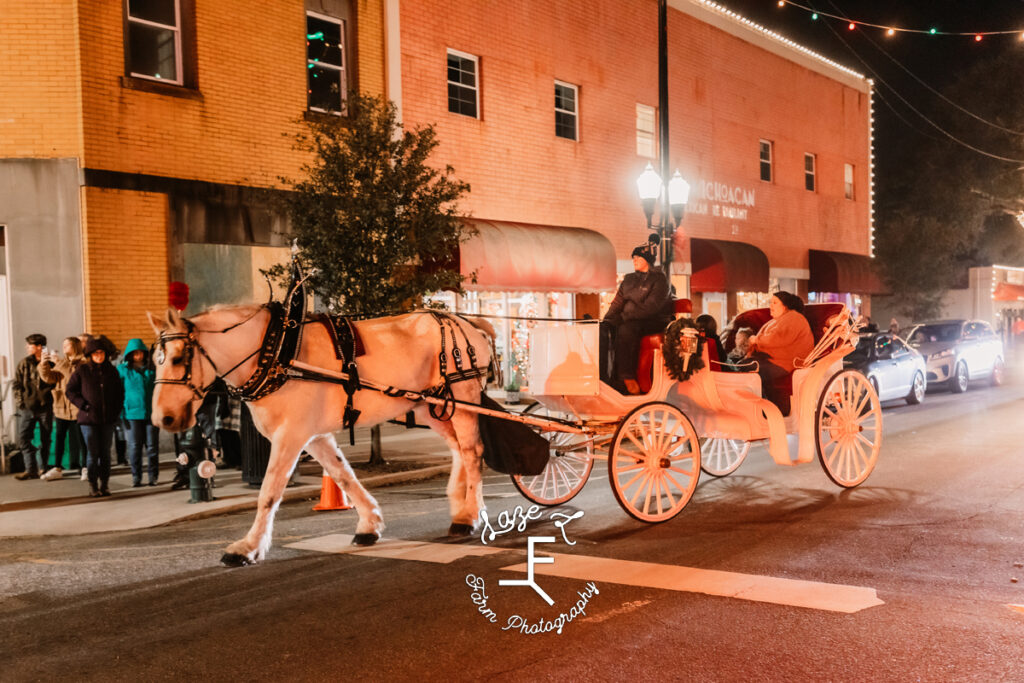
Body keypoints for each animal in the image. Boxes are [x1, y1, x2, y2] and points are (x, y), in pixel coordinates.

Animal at [146, 305, 493, 565]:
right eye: (155, 361)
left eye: (178, 359)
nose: (162, 418)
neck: (276, 353)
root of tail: (468, 322)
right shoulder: (314, 436)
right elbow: (343, 476)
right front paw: (370, 524)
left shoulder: (290, 435)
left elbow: (269, 492)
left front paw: (248, 547)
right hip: (431, 407)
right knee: (458, 449)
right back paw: (459, 506)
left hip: (462, 398)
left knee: (472, 451)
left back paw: (469, 515)